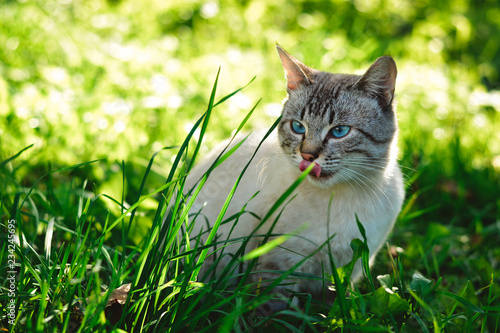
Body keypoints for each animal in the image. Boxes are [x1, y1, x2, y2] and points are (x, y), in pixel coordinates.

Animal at [182, 44, 404, 312]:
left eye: (339, 131)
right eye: (298, 127)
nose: (308, 155)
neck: (341, 198)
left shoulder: (348, 270)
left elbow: (340, 306)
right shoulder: (277, 268)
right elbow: (276, 311)